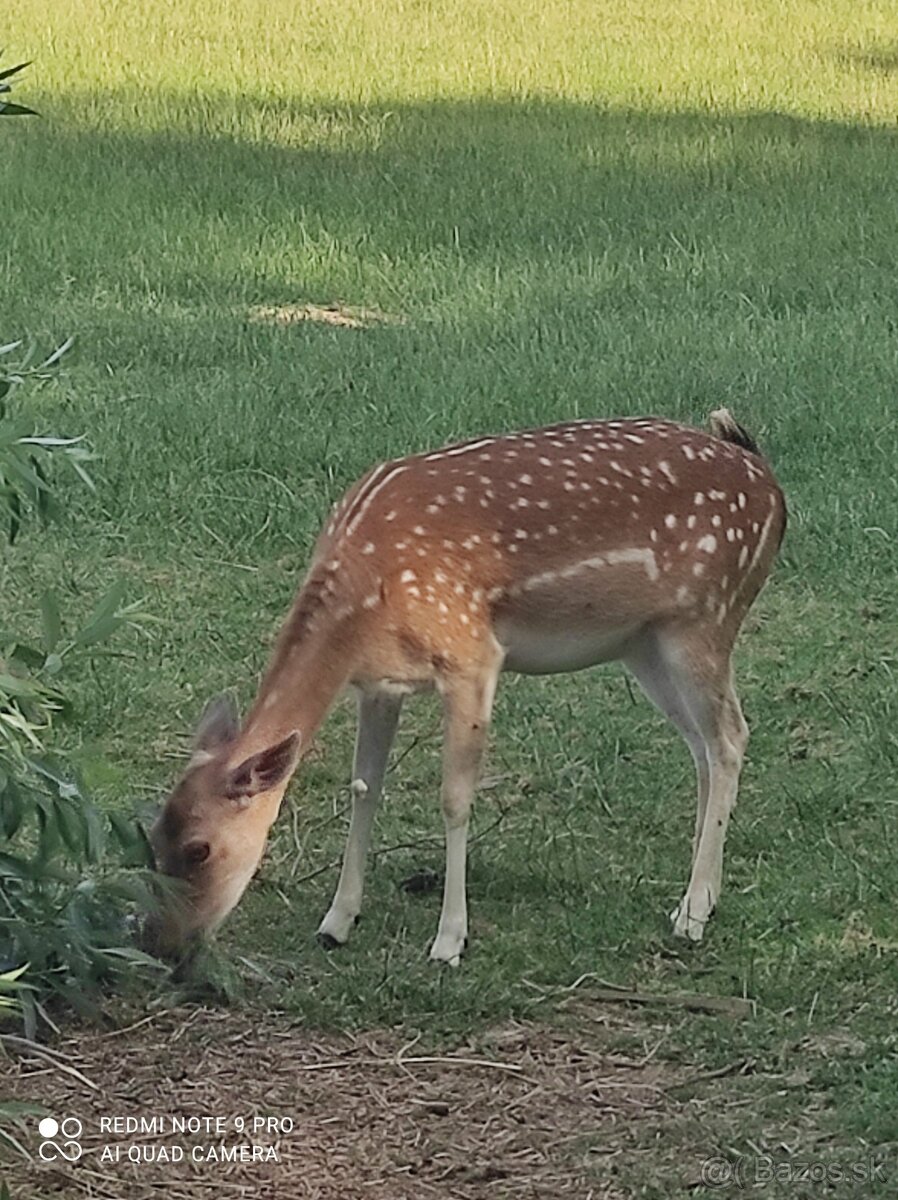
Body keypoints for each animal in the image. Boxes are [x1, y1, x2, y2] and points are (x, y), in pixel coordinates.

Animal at [148, 412, 787, 964]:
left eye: (199, 848)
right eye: (155, 834)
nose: (167, 946)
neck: (364, 600)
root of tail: (770, 486)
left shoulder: (472, 655)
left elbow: (455, 798)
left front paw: (449, 941)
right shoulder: (380, 683)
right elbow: (364, 787)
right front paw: (336, 922)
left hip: (704, 619)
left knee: (730, 737)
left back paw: (692, 916)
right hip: (645, 643)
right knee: (702, 748)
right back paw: (701, 896)